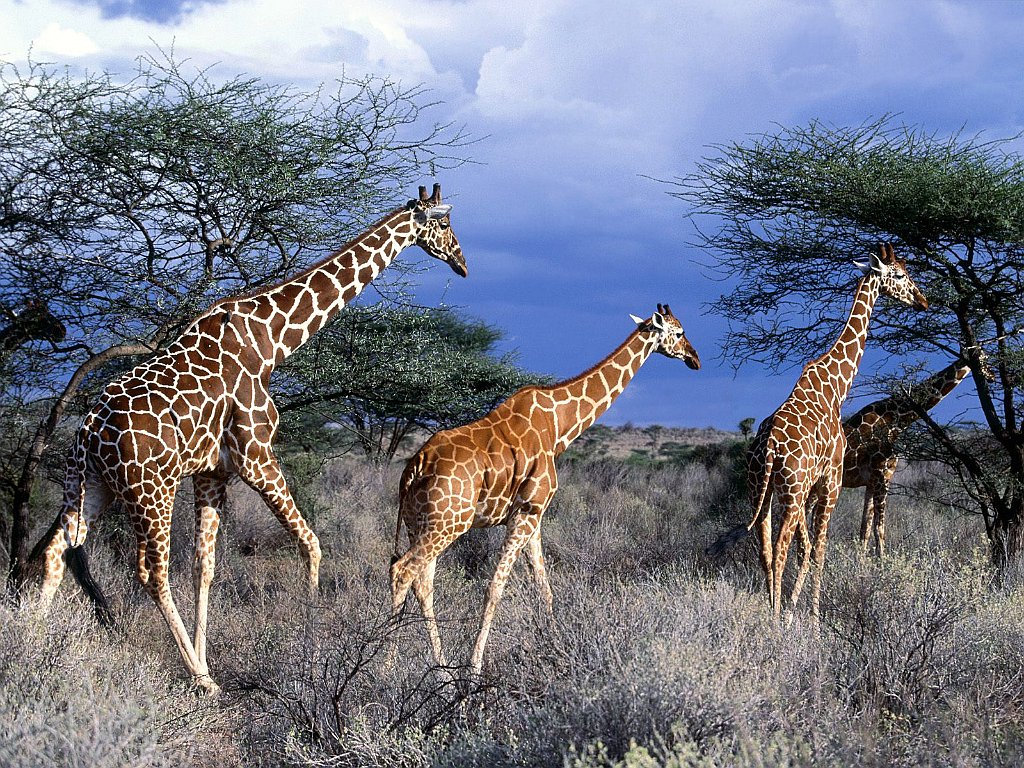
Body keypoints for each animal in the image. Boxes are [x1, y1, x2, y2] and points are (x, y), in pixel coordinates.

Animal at [37, 183, 466, 696]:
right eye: (445, 223)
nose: (462, 263)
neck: (270, 342)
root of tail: (88, 429)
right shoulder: (255, 456)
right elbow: (310, 543)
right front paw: (310, 650)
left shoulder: (212, 471)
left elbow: (204, 566)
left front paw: (213, 652)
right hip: (151, 491)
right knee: (150, 571)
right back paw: (201, 679)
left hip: (89, 485)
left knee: (57, 550)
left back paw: (29, 641)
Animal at [387, 303, 700, 675]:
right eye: (679, 332)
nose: (695, 358)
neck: (560, 427)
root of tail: (417, 463)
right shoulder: (527, 513)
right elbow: (495, 588)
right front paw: (475, 667)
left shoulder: (532, 516)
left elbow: (543, 588)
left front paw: (554, 649)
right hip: (449, 523)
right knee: (403, 571)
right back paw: (382, 663)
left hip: (419, 522)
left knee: (422, 583)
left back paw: (439, 664)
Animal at [745, 243, 929, 622]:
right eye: (900, 273)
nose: (923, 300)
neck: (836, 388)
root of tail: (767, 450)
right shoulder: (831, 481)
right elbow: (819, 551)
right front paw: (813, 620)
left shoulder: (816, 486)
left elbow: (809, 549)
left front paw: (796, 611)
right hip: (792, 491)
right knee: (781, 549)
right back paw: (776, 622)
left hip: (761, 491)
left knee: (765, 551)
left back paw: (770, 614)